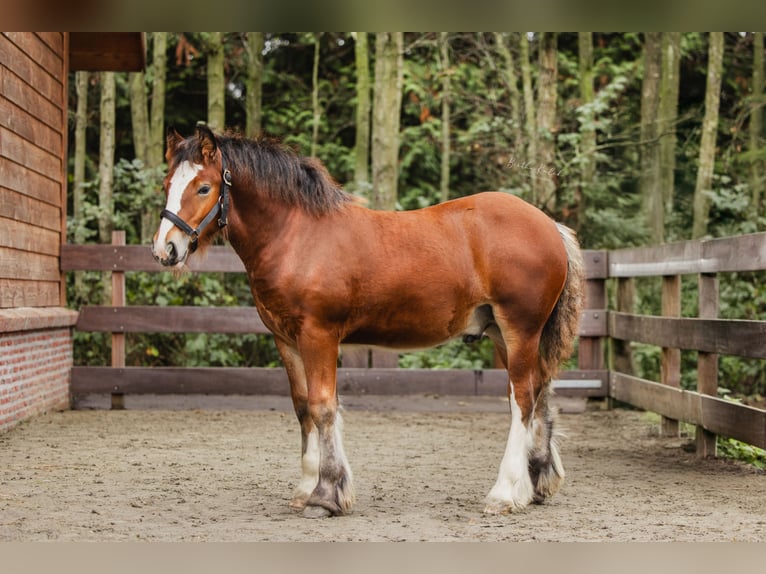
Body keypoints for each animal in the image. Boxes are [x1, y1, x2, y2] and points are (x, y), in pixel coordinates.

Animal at [153, 126, 584, 520]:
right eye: (166, 184)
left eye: (204, 188)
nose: (165, 249)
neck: (297, 237)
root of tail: (550, 225)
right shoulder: (286, 340)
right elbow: (303, 407)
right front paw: (306, 488)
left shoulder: (319, 336)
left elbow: (324, 407)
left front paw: (326, 496)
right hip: (504, 334)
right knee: (539, 393)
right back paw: (536, 483)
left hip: (520, 330)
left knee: (522, 400)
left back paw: (505, 492)